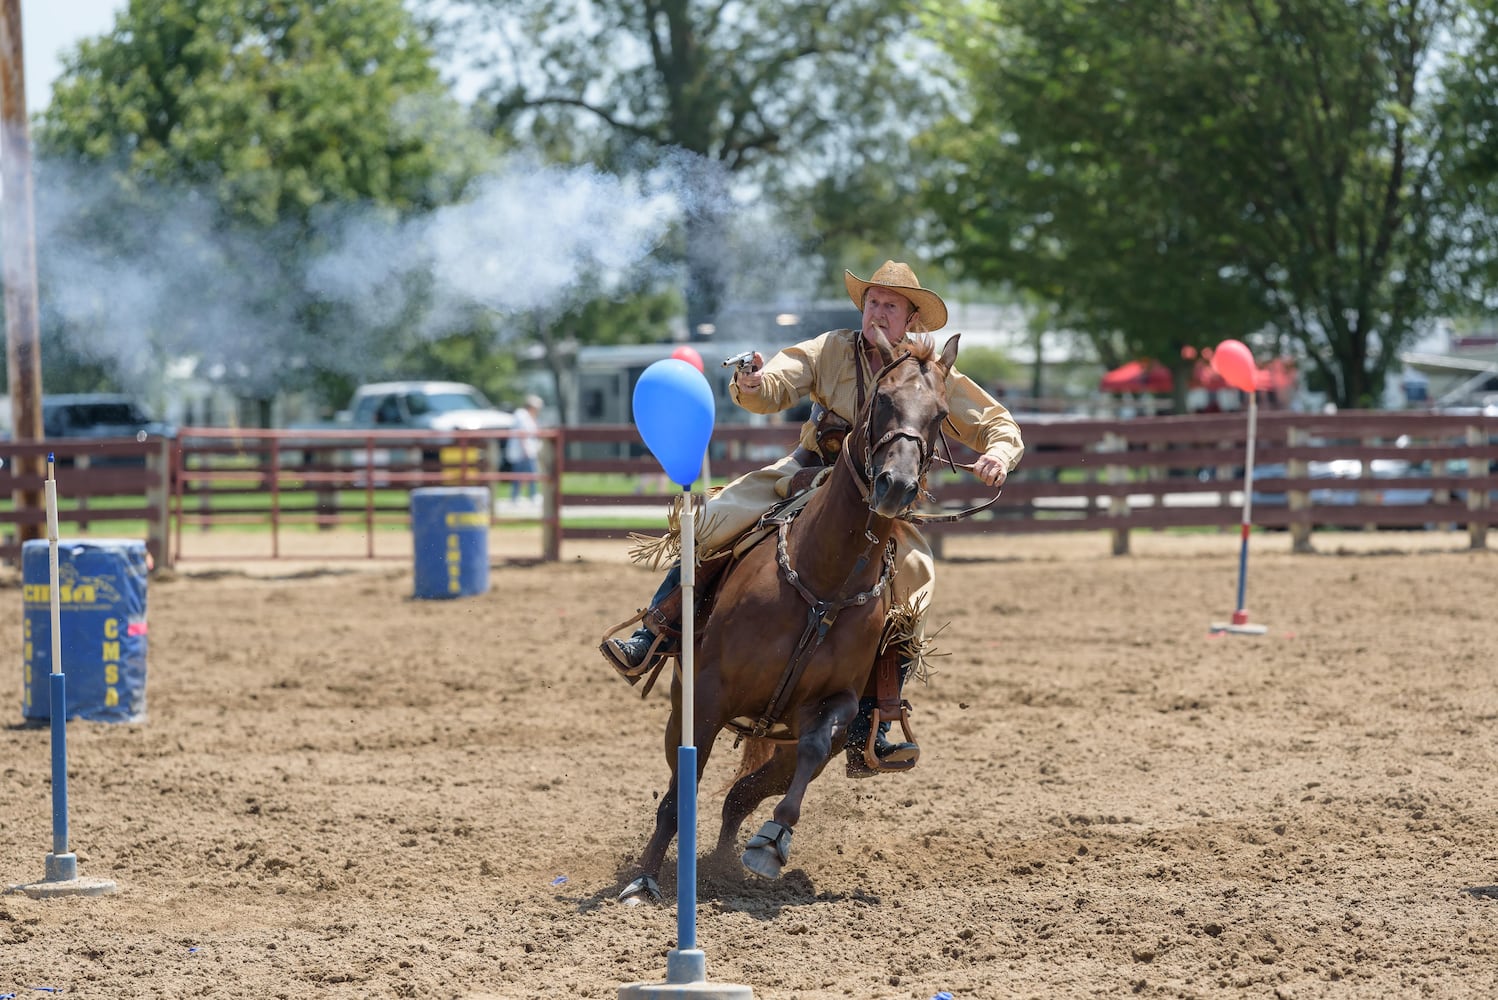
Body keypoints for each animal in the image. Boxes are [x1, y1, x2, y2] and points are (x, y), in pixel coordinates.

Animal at [620, 329, 958, 904]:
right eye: (884, 399)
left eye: (940, 414)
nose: (896, 486)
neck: (824, 583)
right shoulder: (707, 696)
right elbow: (678, 793)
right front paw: (644, 880)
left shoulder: (834, 707)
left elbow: (813, 748)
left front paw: (772, 841)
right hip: (681, 704)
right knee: (688, 784)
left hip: (783, 742)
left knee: (742, 794)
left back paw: (727, 863)